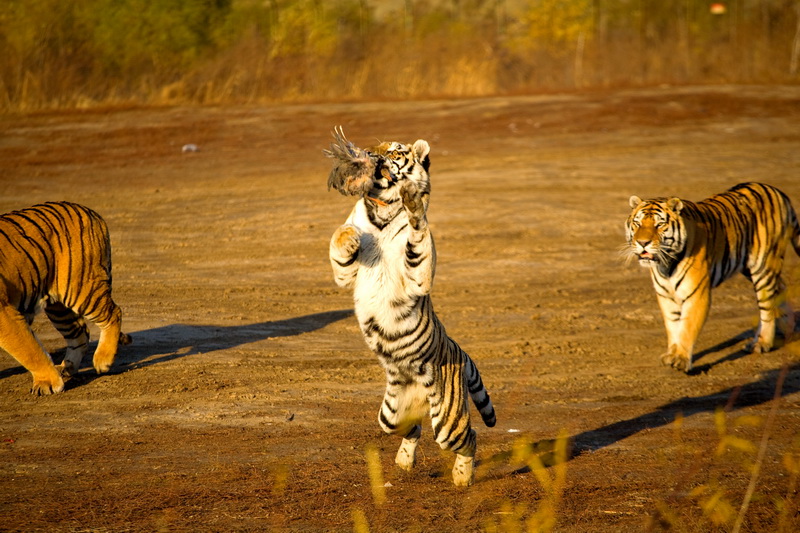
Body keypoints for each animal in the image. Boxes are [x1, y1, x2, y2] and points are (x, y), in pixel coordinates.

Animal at [0, 202, 131, 392]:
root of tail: (91, 212)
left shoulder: (4, 312)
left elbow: (28, 350)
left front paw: (47, 383)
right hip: (59, 306)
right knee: (80, 332)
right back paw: (66, 368)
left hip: (80, 289)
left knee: (114, 312)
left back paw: (103, 360)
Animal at [324, 128, 494, 486]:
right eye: (373, 147)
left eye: (394, 151)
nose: (371, 156)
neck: (382, 212)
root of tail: (458, 349)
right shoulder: (346, 275)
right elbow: (338, 242)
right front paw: (349, 236)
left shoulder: (419, 276)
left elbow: (417, 234)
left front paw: (413, 201)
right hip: (390, 415)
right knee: (413, 428)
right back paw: (403, 462)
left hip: (447, 420)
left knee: (468, 438)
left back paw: (462, 477)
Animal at [628, 182, 796, 370]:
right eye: (637, 223)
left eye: (659, 225)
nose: (642, 243)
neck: (666, 263)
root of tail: (778, 192)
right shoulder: (666, 295)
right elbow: (673, 327)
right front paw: (671, 355)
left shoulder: (697, 295)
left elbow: (686, 328)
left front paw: (680, 359)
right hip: (751, 268)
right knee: (780, 288)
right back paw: (788, 328)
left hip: (763, 267)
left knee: (767, 307)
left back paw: (761, 343)